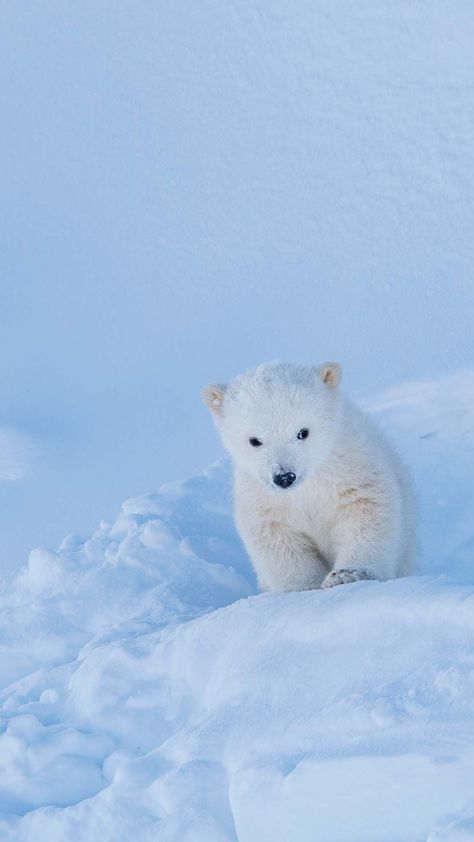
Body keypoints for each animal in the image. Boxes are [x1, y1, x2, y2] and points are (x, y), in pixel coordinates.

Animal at [202, 360, 416, 592]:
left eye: (302, 432)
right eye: (255, 440)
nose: (284, 477)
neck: (307, 486)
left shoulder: (351, 468)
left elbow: (365, 511)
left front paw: (346, 576)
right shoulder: (263, 498)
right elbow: (277, 539)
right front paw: (305, 589)